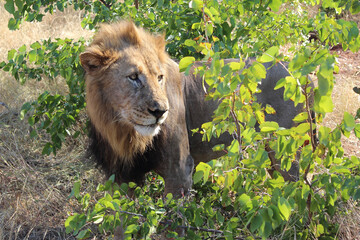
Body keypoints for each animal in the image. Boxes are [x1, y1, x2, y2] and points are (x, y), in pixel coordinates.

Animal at [79, 21, 312, 197]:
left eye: (159, 77)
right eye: (133, 77)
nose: (161, 112)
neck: (123, 132)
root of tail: (300, 73)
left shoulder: (179, 171)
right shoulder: (119, 176)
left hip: (284, 153)